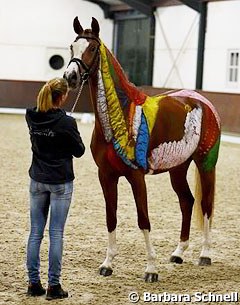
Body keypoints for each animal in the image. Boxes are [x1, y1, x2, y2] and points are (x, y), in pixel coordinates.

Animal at [62, 17, 220, 282]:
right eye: (72, 47)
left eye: (92, 48)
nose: (70, 77)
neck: (121, 117)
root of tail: (202, 101)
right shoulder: (106, 176)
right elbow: (111, 217)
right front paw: (107, 264)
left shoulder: (136, 176)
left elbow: (143, 219)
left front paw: (151, 269)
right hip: (178, 168)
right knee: (187, 201)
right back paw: (178, 253)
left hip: (205, 164)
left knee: (205, 205)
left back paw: (205, 254)